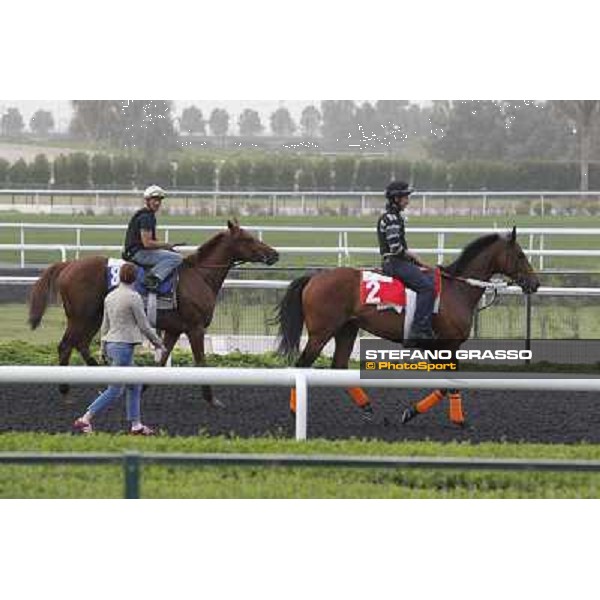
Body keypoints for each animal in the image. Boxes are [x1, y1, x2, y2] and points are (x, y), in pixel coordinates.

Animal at [27, 218, 278, 406]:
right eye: (248, 238)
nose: (274, 254)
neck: (199, 276)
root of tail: (68, 265)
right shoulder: (195, 328)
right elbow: (201, 362)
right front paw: (211, 399)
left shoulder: (174, 330)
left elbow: (161, 361)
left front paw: (143, 386)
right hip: (81, 317)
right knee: (66, 345)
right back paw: (66, 390)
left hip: (95, 317)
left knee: (80, 344)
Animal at [274, 226, 540, 426]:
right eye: (520, 255)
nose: (535, 283)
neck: (457, 290)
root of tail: (315, 277)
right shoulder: (447, 346)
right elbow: (448, 385)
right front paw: (446, 418)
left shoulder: (437, 349)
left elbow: (445, 385)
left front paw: (415, 412)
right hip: (321, 333)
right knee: (302, 365)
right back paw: (295, 410)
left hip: (347, 329)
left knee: (338, 366)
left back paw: (367, 407)